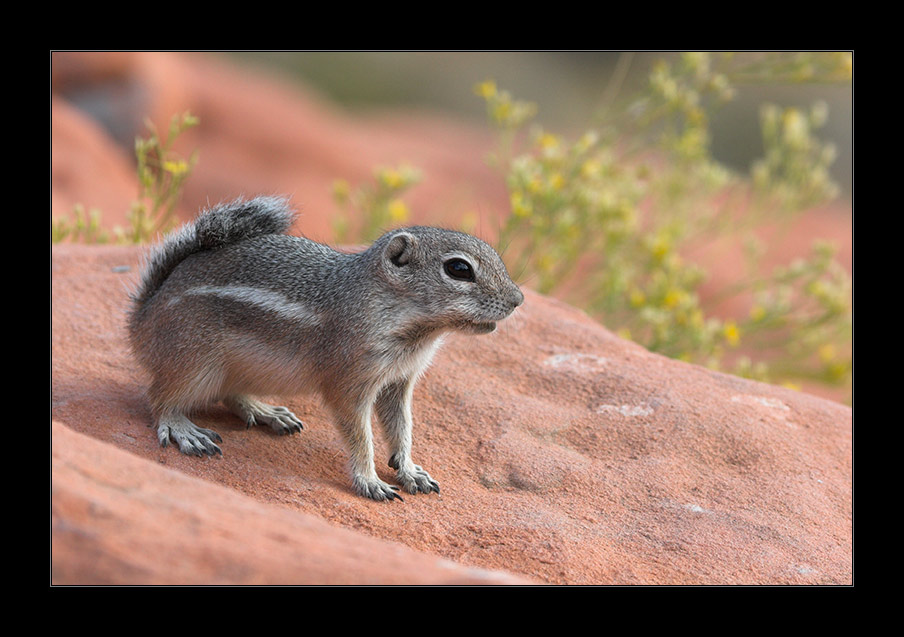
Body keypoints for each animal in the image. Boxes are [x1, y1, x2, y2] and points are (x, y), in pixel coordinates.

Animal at [127, 196, 524, 500]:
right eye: (459, 269)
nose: (518, 299)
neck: (415, 331)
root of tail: (142, 318)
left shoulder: (398, 383)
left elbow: (403, 428)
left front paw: (410, 470)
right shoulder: (348, 383)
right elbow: (361, 436)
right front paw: (370, 482)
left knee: (230, 395)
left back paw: (268, 412)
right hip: (195, 363)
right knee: (159, 397)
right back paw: (183, 428)